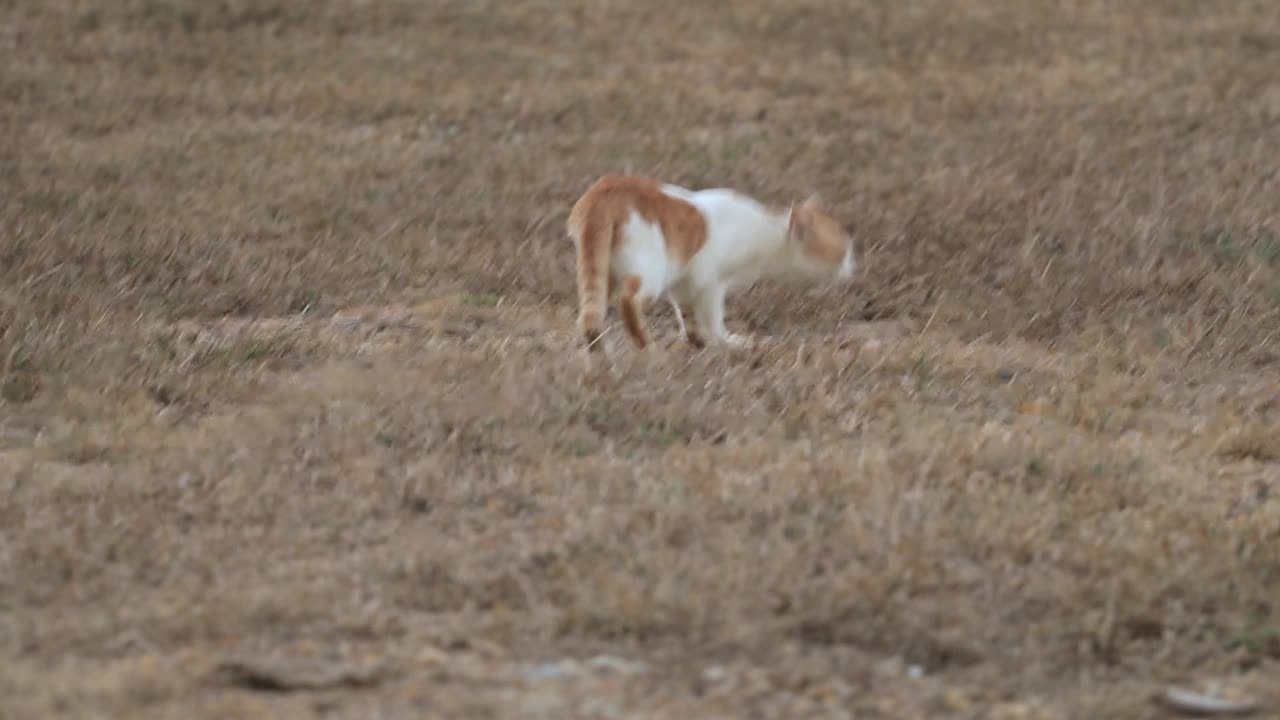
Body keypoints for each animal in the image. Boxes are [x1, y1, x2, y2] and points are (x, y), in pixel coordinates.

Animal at [570, 175, 860, 351]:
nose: (852, 268)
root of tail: (606, 190)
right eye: (843, 252)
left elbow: (689, 316)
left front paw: (696, 341)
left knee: (589, 316)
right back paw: (647, 347)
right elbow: (713, 318)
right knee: (628, 301)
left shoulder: (684, 283)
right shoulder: (711, 282)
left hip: (602, 273)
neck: (764, 232)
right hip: (649, 271)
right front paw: (727, 341)